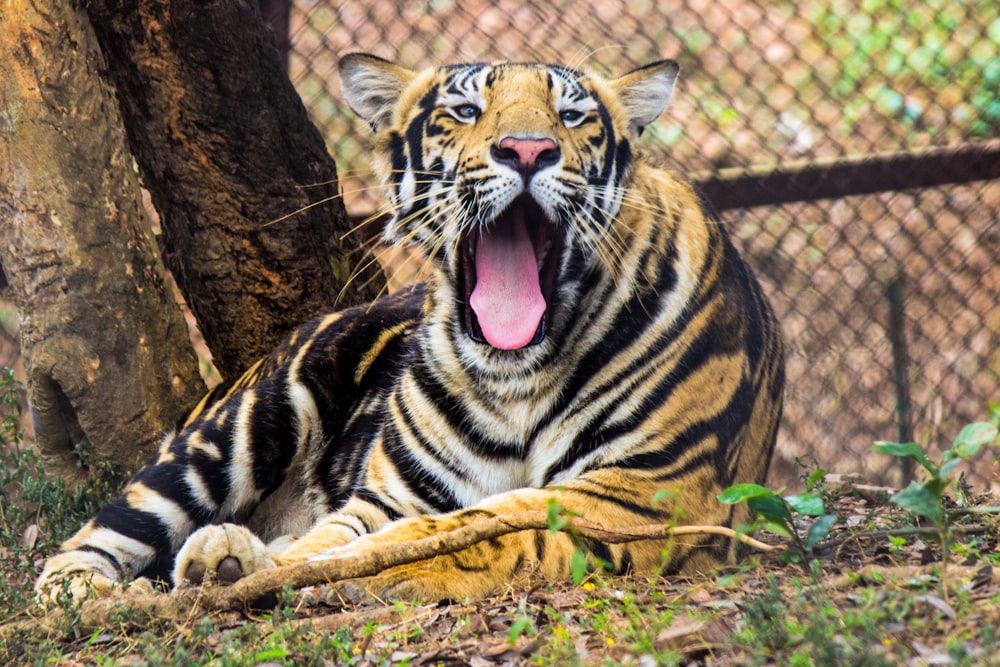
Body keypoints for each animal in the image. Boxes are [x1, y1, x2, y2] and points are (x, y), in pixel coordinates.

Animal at [37, 53, 780, 604]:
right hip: (249, 421)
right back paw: (92, 591)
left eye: (573, 117)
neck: (518, 373)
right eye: (466, 110)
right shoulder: (395, 493)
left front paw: (274, 569)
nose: (528, 150)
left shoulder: (639, 496)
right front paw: (267, 567)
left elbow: (479, 531)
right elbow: (366, 532)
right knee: (87, 540)